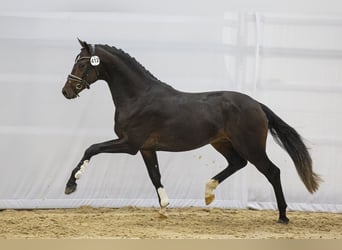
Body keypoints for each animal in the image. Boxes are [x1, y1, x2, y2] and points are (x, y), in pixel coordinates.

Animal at [61, 40, 320, 224]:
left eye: (82, 63)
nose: (66, 91)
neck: (138, 97)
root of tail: (257, 104)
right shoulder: (146, 148)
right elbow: (155, 176)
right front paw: (164, 208)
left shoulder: (130, 144)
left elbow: (92, 148)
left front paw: (71, 184)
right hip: (222, 142)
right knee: (237, 163)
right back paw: (208, 192)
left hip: (251, 146)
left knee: (272, 172)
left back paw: (283, 217)